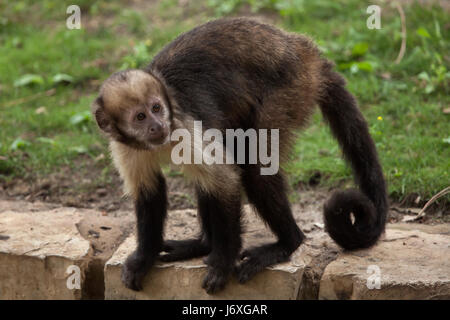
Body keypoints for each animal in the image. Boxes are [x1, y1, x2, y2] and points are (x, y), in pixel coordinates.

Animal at [91, 16, 386, 292]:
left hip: (291, 90)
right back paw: (202, 245)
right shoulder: (125, 146)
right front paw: (144, 258)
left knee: (254, 170)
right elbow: (149, 192)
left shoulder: (183, 124)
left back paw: (287, 243)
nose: (157, 125)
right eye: (140, 117)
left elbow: (226, 180)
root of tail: (302, 49)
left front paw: (223, 262)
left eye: (156, 108)